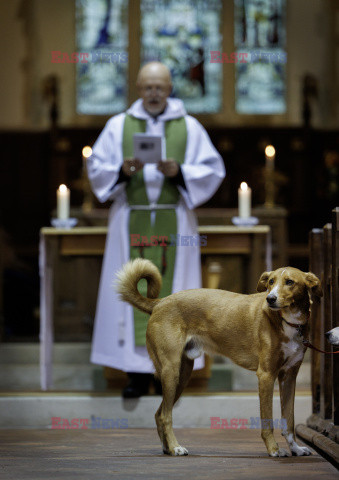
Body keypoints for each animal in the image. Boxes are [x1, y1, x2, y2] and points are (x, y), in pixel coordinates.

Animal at [117, 258, 324, 458]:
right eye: (271, 282)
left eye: (289, 282)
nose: (270, 299)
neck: (288, 322)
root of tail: (160, 302)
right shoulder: (266, 375)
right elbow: (268, 421)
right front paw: (274, 449)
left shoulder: (289, 377)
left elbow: (289, 421)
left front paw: (296, 448)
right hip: (171, 370)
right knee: (164, 415)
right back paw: (176, 448)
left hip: (182, 375)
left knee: (158, 413)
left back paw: (167, 448)